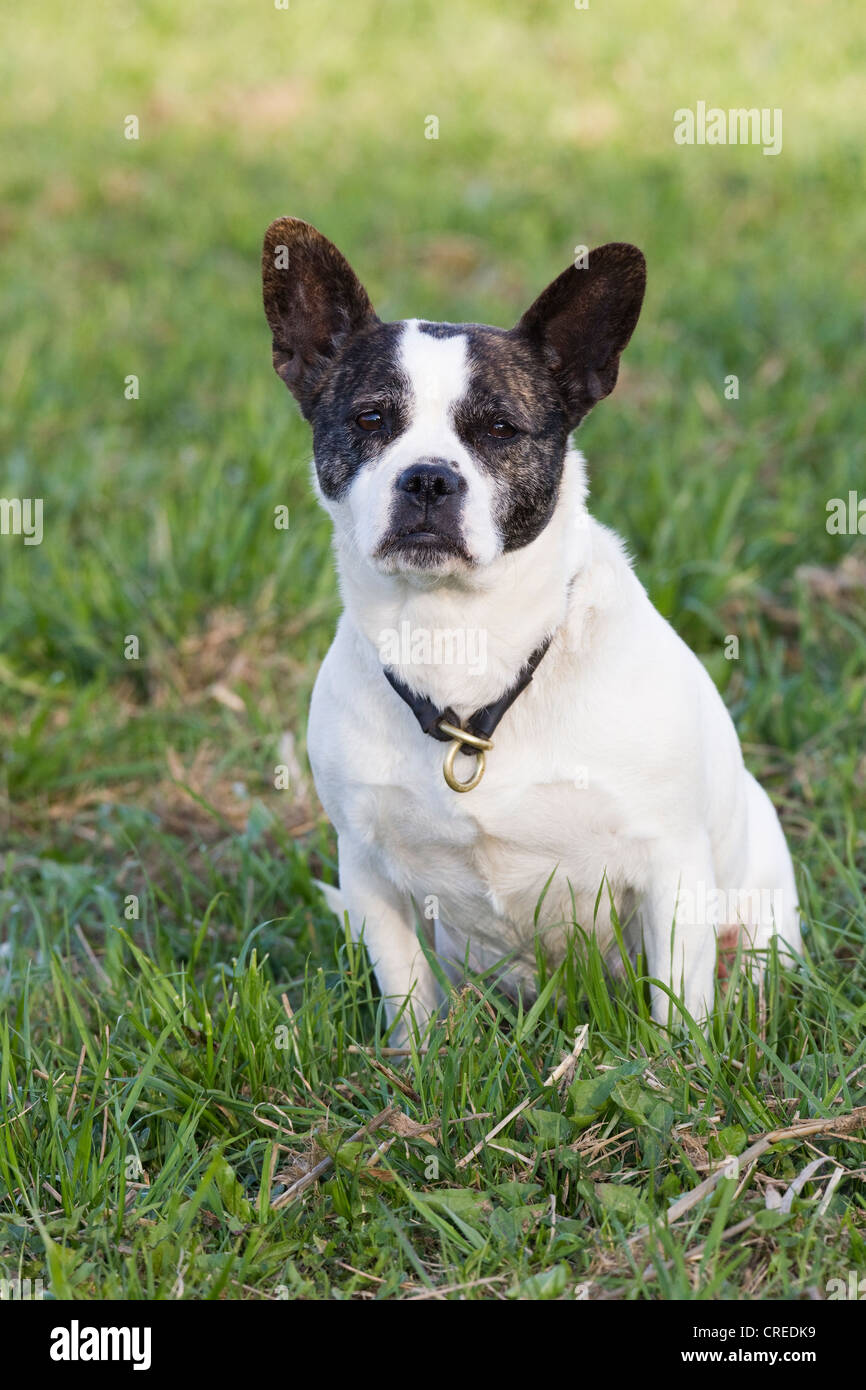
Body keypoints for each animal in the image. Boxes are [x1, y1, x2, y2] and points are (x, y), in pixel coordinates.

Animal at [261, 216, 800, 1039]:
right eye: (370, 420)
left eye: (499, 430)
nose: (427, 477)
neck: (459, 633)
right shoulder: (368, 871)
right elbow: (407, 989)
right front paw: (414, 1061)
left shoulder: (671, 867)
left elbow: (679, 1000)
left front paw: (676, 1067)